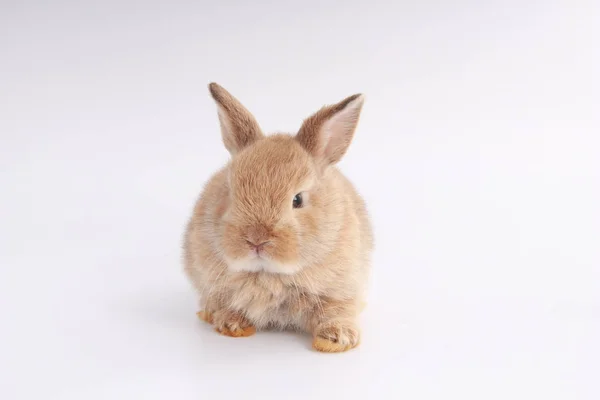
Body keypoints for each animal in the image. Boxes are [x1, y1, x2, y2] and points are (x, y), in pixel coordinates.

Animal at [183, 83, 372, 352]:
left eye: (297, 200)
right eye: (229, 192)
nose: (256, 240)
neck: (270, 274)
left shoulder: (341, 289)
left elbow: (335, 311)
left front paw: (337, 340)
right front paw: (231, 324)